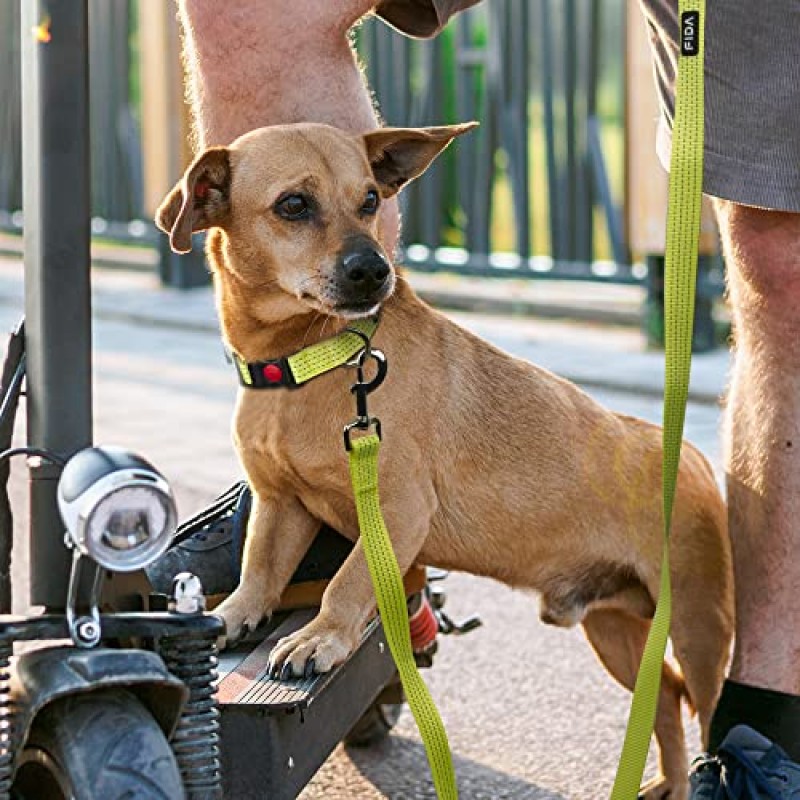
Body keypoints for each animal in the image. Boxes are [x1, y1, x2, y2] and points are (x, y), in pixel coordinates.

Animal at [156, 125, 732, 800]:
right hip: (616, 632)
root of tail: (690, 456)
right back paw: (670, 780)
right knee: (662, 697)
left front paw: (320, 638)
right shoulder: (282, 505)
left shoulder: (397, 514)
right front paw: (238, 613)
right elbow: (260, 569)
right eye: (293, 205)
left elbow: (347, 582)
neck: (312, 359)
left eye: (370, 199)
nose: (374, 271)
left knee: (704, 706)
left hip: (699, 630)